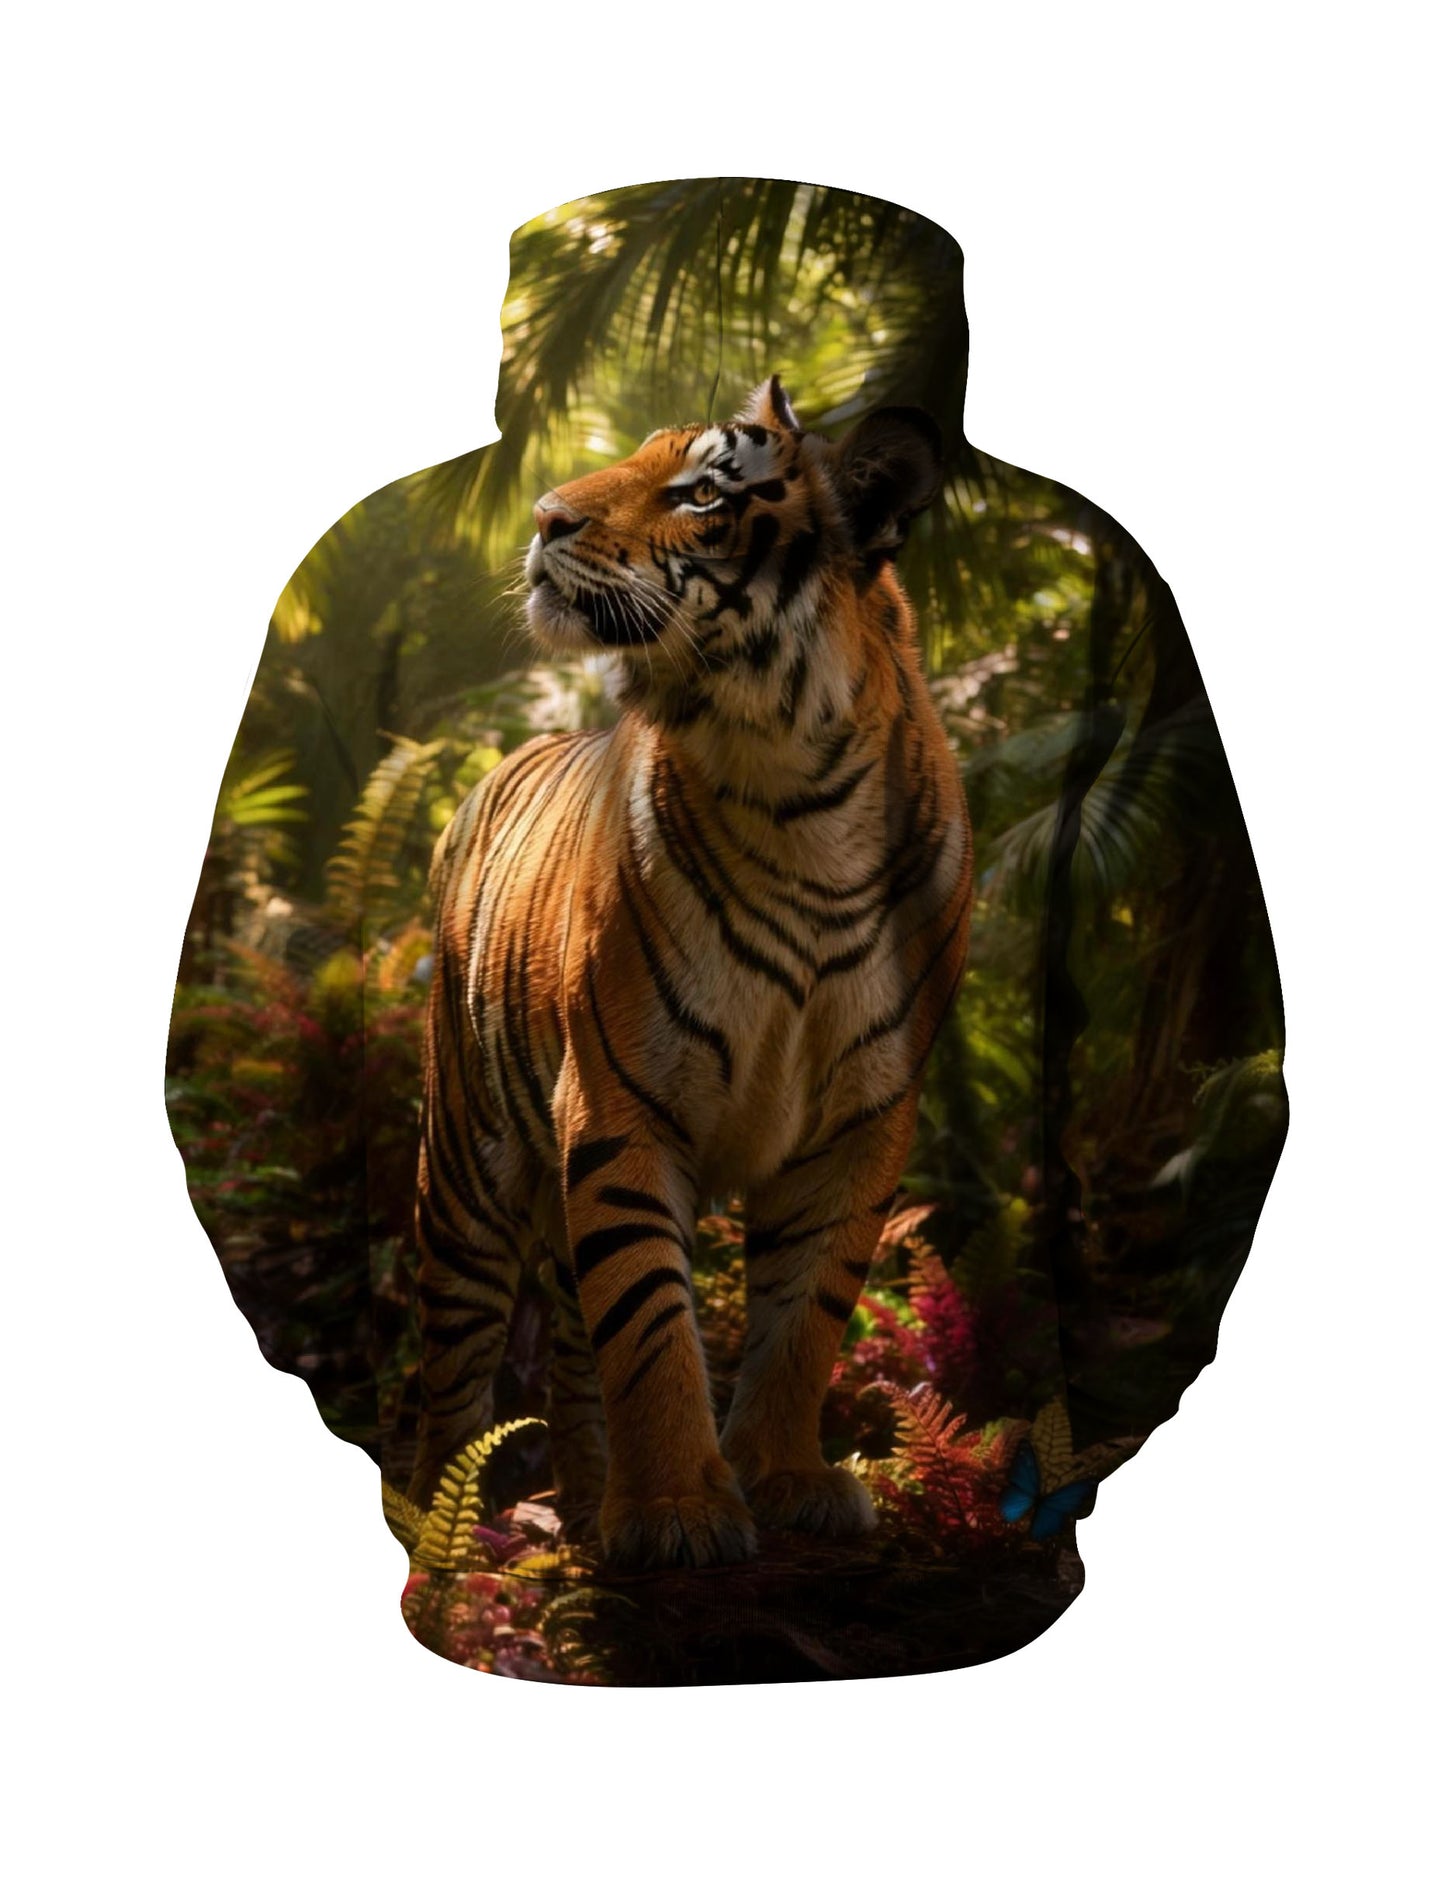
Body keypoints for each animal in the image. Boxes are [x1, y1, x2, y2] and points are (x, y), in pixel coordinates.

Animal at [408, 375, 973, 1570]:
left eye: (701, 492)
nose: (543, 516)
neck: (792, 786)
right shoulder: (620, 1105)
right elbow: (651, 1325)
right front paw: (677, 1509)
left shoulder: (862, 1124)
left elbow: (802, 1319)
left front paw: (787, 1481)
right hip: (466, 1169)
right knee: (454, 1372)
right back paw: (443, 1548)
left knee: (572, 1351)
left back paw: (584, 1516)